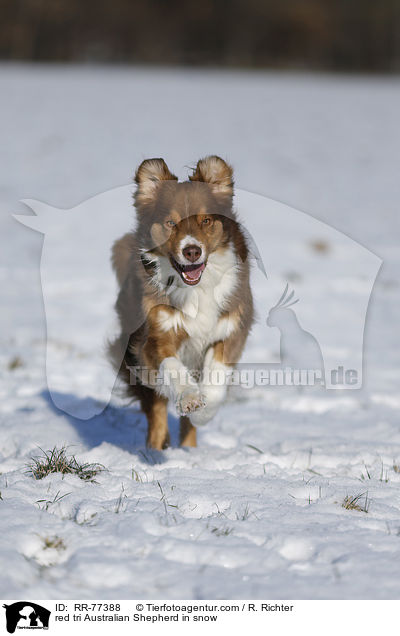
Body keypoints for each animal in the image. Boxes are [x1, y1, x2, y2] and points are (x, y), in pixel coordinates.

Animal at [109, 156, 253, 450]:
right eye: (171, 223)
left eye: (206, 220)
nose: (192, 251)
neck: (196, 290)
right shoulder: (155, 334)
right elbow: (172, 367)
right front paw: (189, 398)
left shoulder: (232, 327)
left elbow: (217, 379)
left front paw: (203, 412)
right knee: (155, 408)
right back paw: (155, 450)